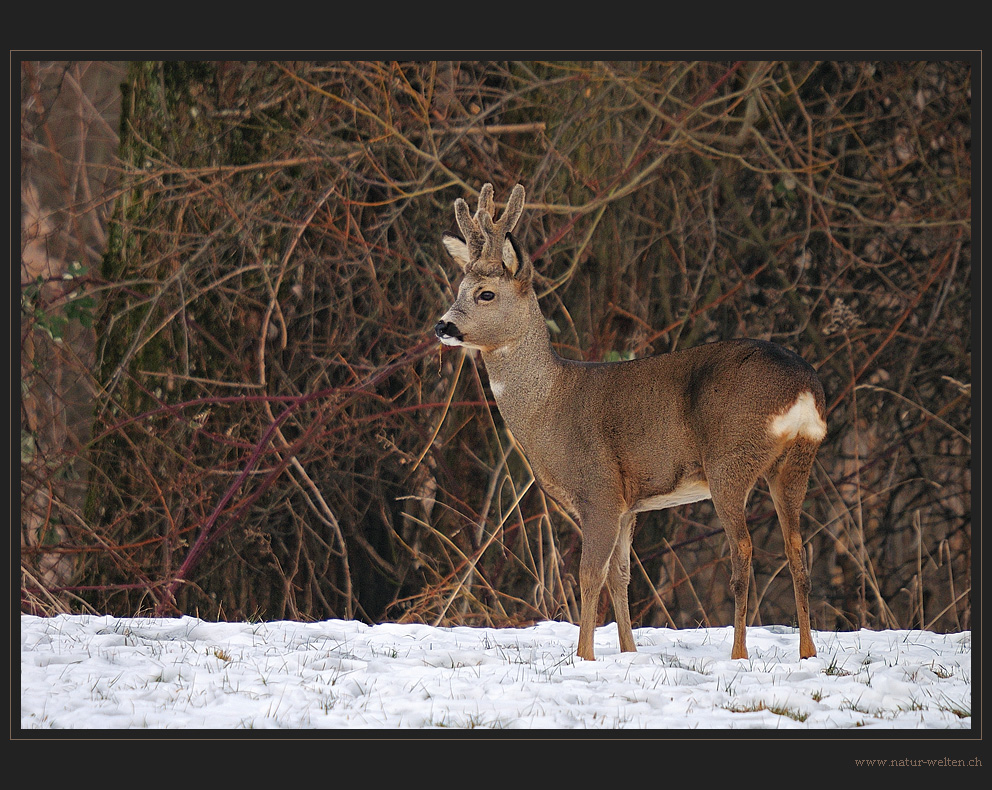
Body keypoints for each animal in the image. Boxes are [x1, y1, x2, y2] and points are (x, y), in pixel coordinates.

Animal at [436, 186, 828, 664]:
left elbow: (589, 574)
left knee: (744, 550)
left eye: (487, 294)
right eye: (459, 288)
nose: (442, 326)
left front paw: (584, 656)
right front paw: (627, 650)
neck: (550, 407)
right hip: (794, 463)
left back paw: (739, 653)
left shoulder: (599, 488)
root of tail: (804, 387)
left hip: (730, 460)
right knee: (797, 550)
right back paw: (808, 652)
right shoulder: (629, 504)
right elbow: (619, 575)